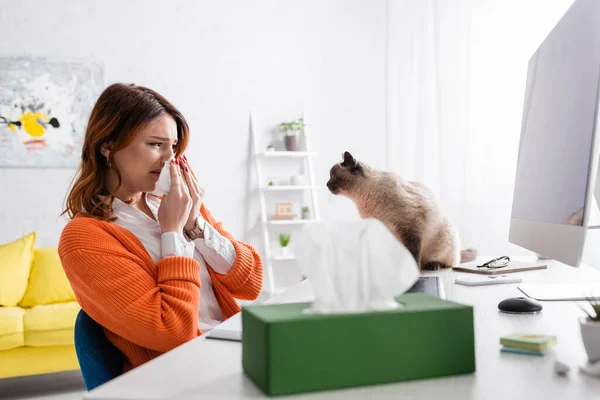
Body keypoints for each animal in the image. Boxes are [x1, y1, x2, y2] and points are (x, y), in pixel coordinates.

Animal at [326, 152, 476, 270]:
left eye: (332, 176)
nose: (326, 184)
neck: (363, 199)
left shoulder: (410, 227)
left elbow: (413, 253)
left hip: (445, 240)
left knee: (449, 262)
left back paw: (433, 265)